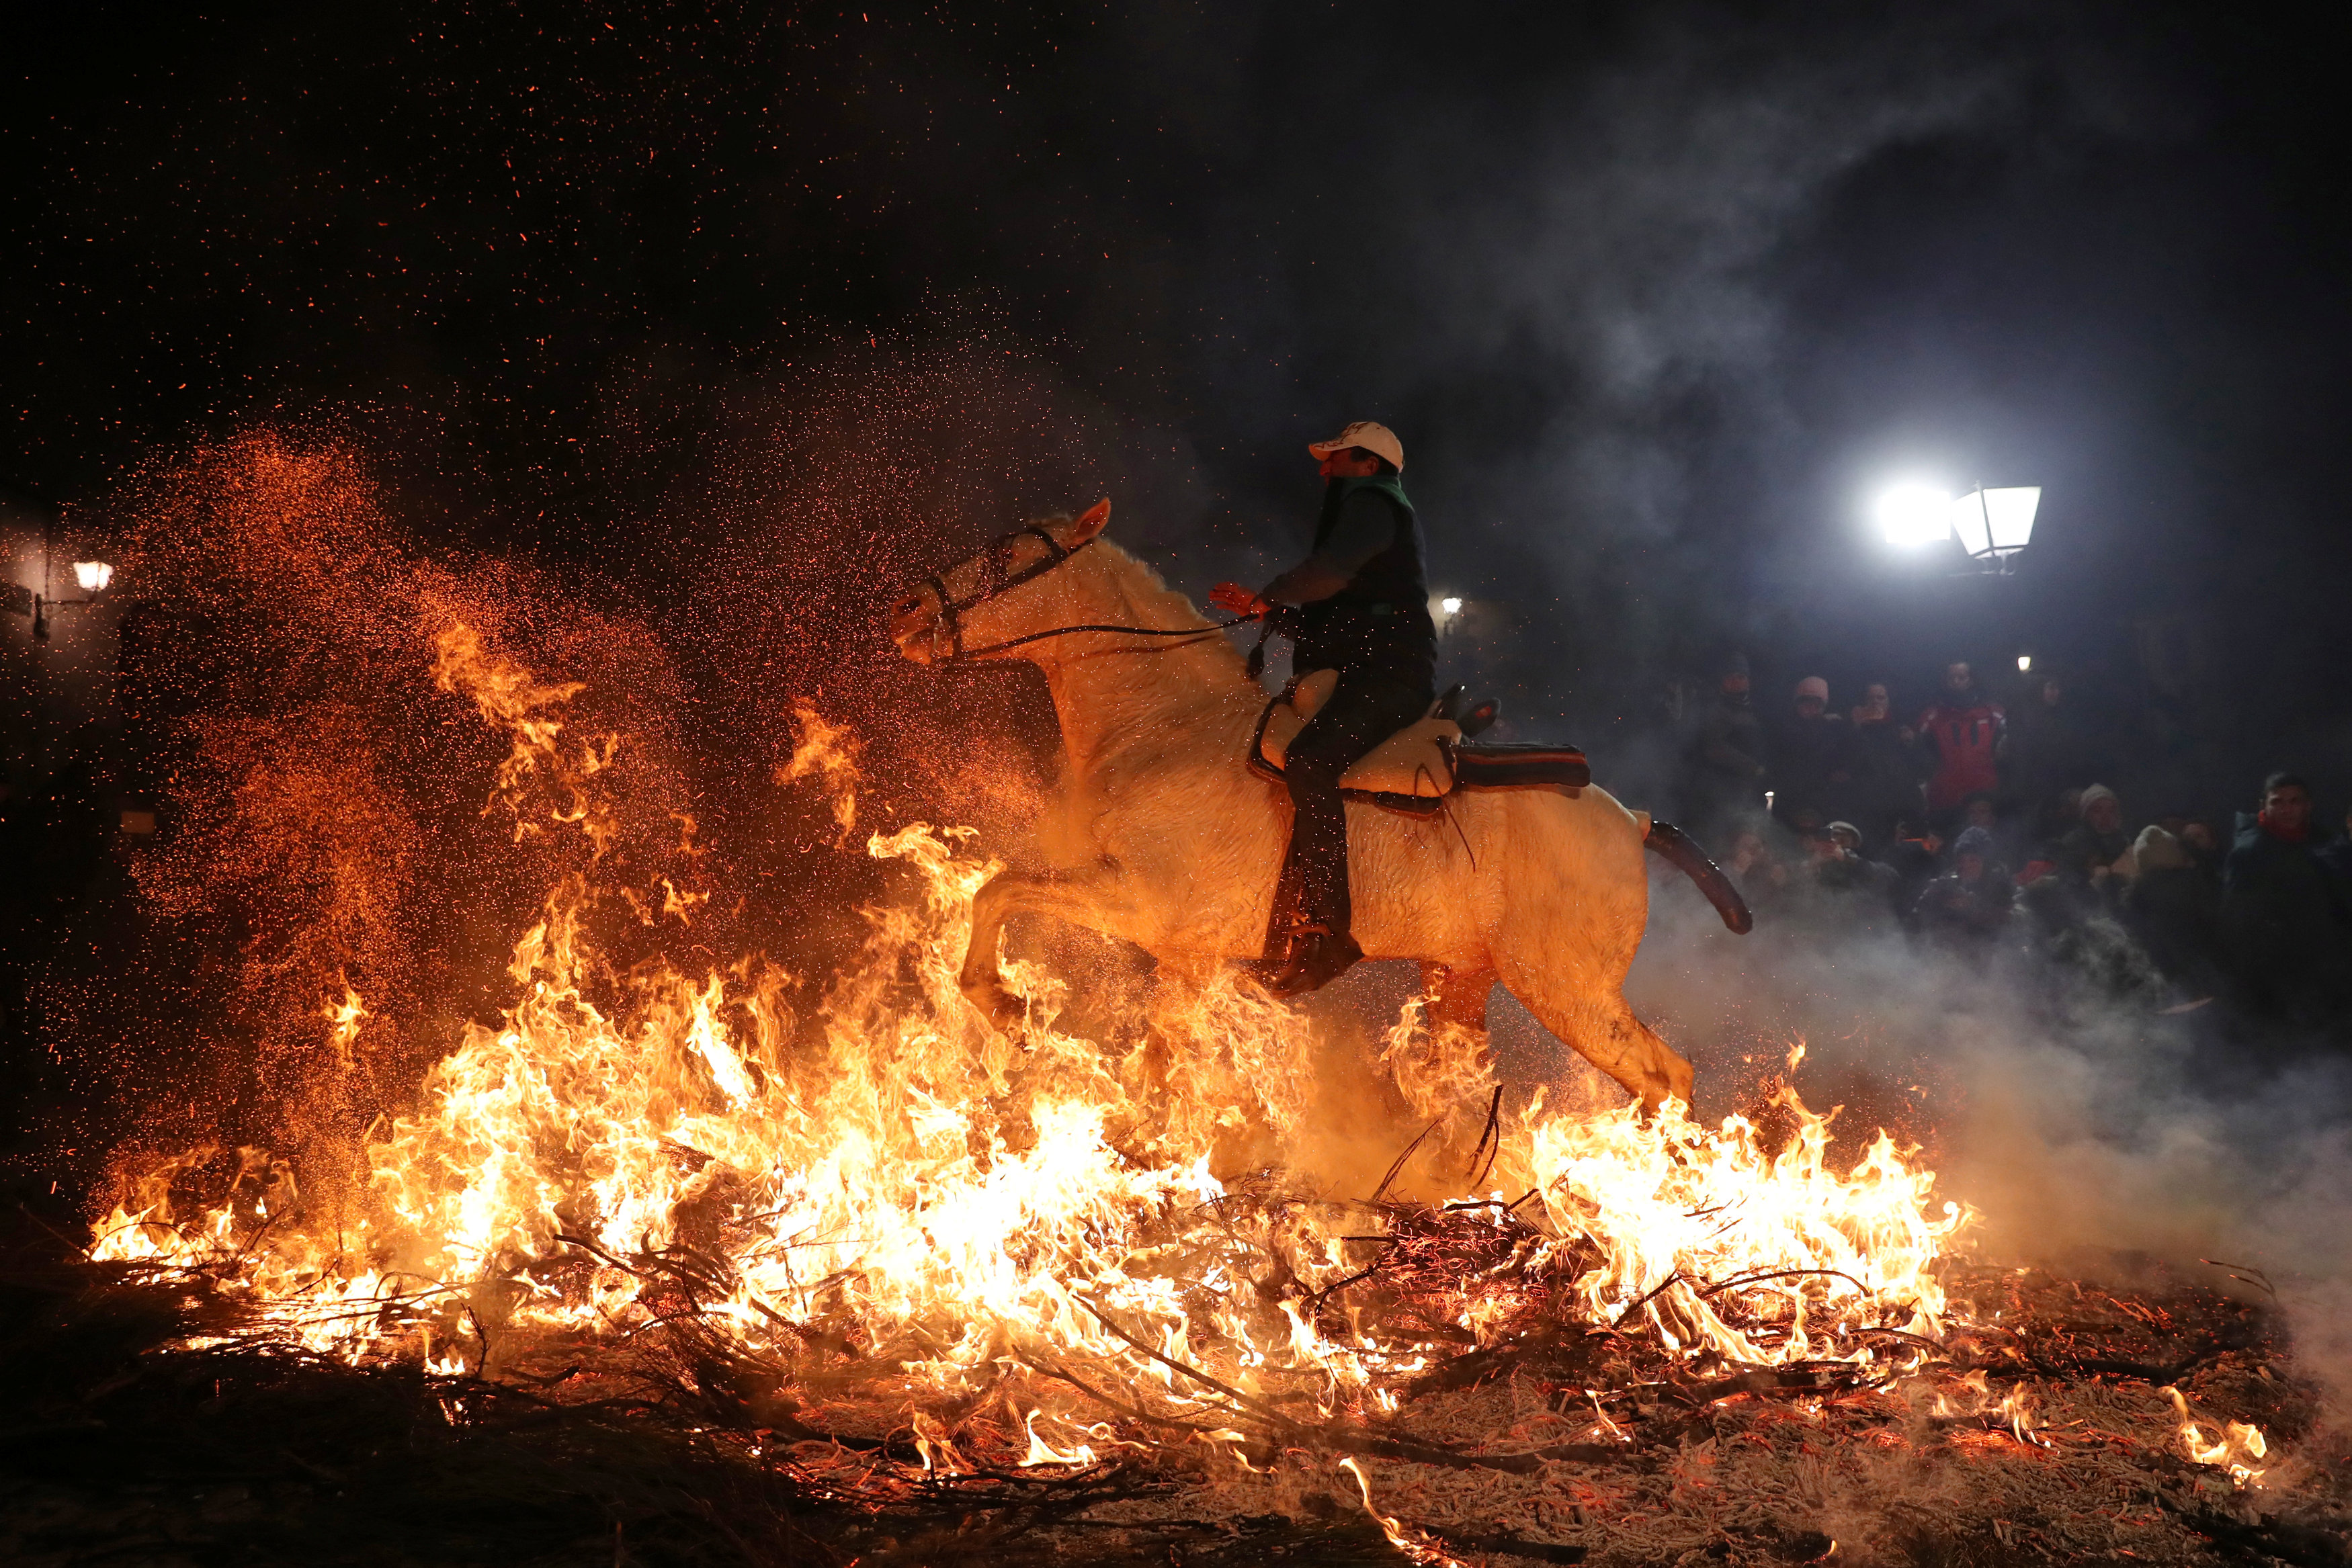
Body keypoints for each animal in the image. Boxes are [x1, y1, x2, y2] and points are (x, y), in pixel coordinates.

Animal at [889, 496, 1740, 1109]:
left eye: (1007, 554)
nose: (905, 611)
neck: (1167, 725)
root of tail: (1630, 821)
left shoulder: (1139, 905)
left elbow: (998, 890)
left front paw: (1002, 1003)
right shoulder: (1185, 958)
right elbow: (1157, 1057)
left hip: (1570, 993)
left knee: (1666, 1078)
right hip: (1459, 982)